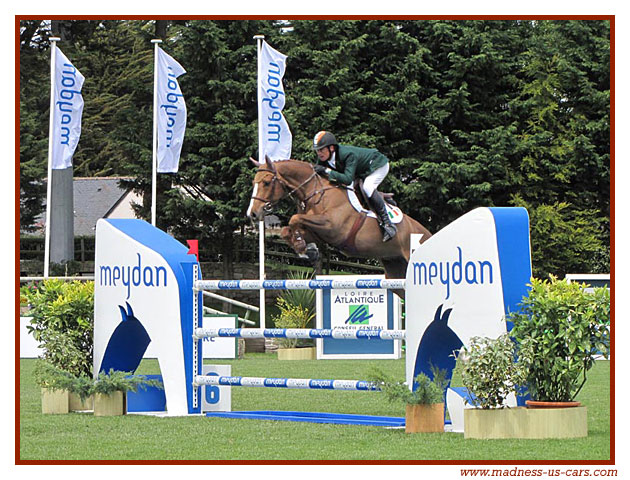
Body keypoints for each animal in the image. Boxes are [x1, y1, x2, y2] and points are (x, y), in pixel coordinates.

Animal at [247, 157, 434, 284]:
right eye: (254, 182)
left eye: (266, 182)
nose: (253, 213)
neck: (317, 192)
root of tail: (428, 234)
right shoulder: (320, 232)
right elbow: (288, 229)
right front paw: (305, 249)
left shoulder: (333, 227)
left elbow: (294, 218)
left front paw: (302, 247)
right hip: (395, 268)